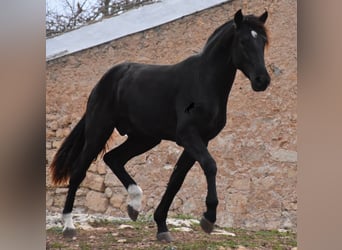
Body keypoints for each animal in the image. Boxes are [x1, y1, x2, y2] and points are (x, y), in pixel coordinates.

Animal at [50, 9, 270, 242]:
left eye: (263, 41)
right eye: (244, 41)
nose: (262, 81)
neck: (203, 82)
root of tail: (104, 81)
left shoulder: (201, 140)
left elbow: (176, 180)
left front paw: (162, 226)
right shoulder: (188, 135)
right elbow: (210, 166)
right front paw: (208, 218)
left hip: (144, 138)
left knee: (113, 158)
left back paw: (134, 205)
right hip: (99, 130)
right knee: (78, 171)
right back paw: (68, 226)